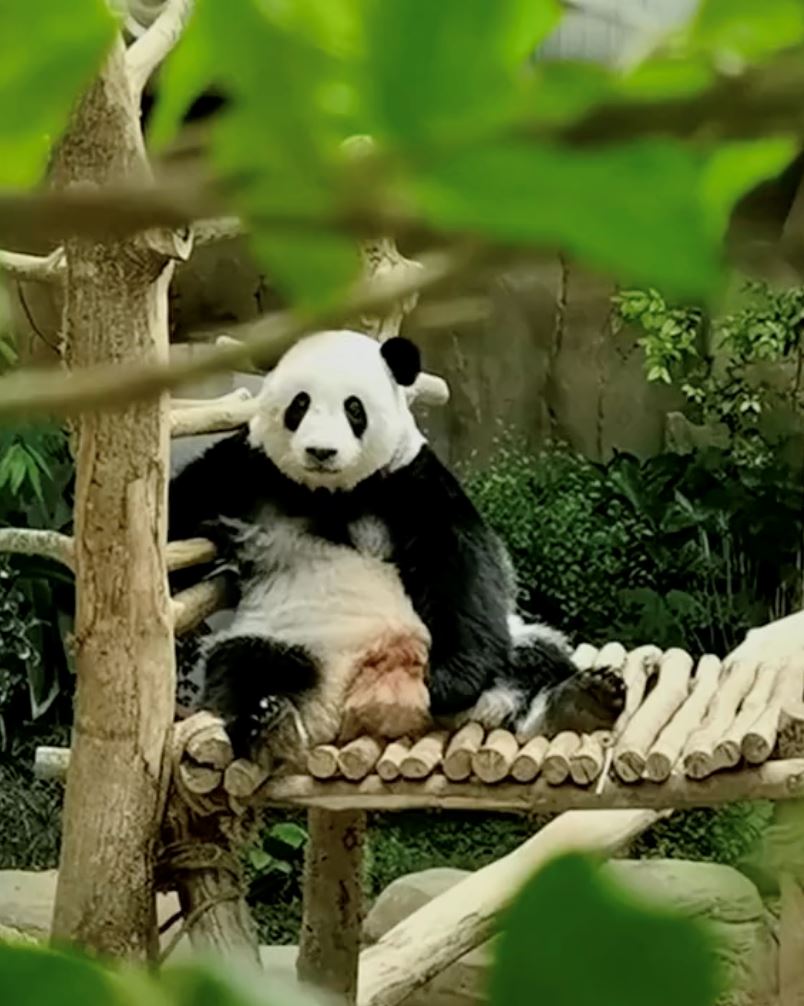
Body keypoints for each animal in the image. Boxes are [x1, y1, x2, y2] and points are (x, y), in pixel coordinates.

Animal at [168, 330, 624, 766]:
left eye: (354, 409)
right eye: (300, 404)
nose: (321, 452)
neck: (329, 494)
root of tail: (371, 697)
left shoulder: (410, 479)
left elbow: (461, 559)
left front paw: (449, 683)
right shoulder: (246, 471)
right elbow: (180, 513)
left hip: (504, 643)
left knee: (535, 657)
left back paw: (582, 700)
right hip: (285, 637)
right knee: (243, 670)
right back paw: (270, 725)